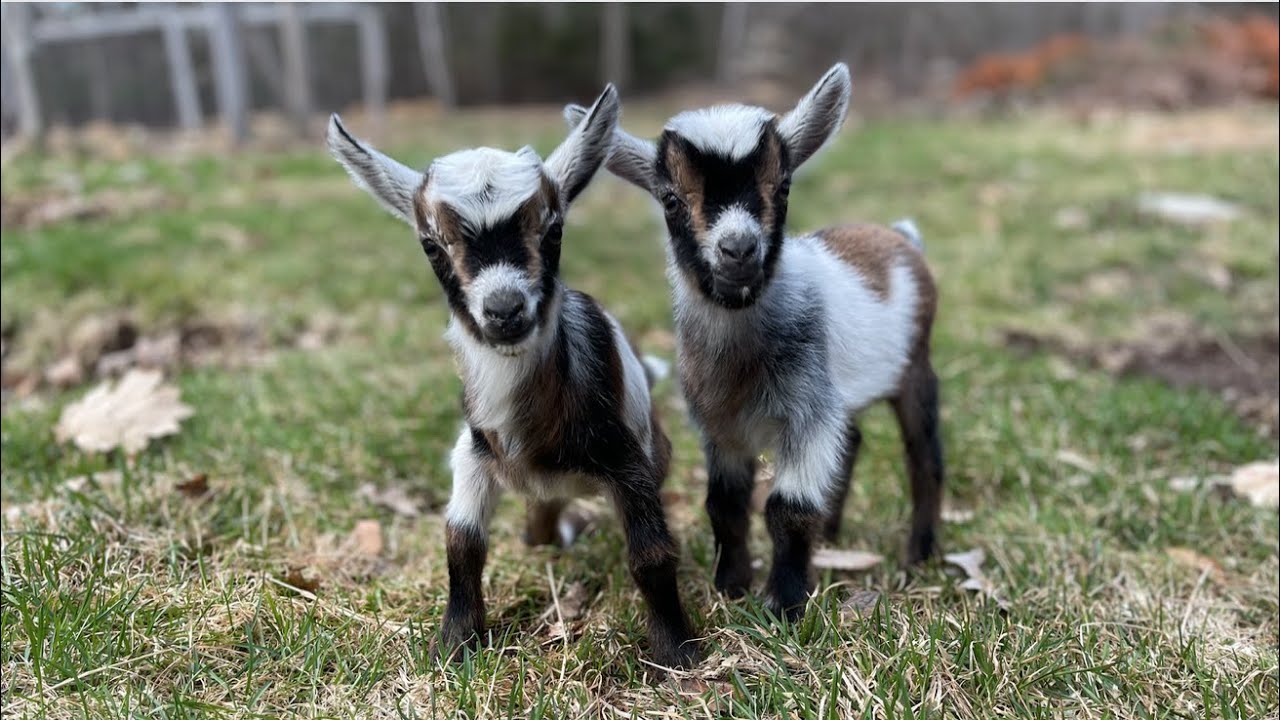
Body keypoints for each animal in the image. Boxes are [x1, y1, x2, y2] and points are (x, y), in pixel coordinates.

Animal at [327, 85, 700, 667]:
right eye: (431, 244)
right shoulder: (476, 452)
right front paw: (455, 644)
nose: (504, 311)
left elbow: (652, 554)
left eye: (554, 229)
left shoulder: (628, 462)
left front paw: (677, 655)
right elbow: (461, 543)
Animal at [566, 65, 943, 621]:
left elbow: (787, 508)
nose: (738, 249)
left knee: (923, 455)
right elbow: (724, 505)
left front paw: (784, 604)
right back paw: (832, 538)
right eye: (670, 199)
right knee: (852, 440)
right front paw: (731, 585)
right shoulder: (720, 426)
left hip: (915, 366)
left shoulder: (806, 414)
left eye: (783, 187)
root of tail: (901, 238)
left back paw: (919, 554)